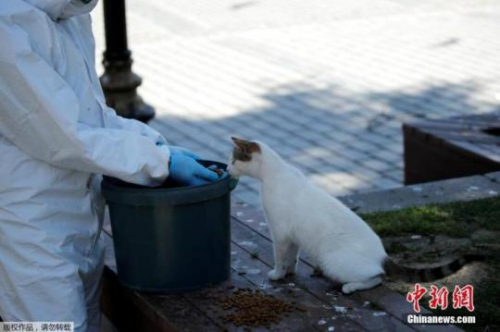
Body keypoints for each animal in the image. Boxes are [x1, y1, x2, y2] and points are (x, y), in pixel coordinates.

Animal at [229, 137, 388, 294]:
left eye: (233, 161)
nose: (227, 169)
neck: (273, 174)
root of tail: (383, 256)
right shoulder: (292, 237)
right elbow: (292, 258)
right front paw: (289, 272)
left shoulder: (280, 235)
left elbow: (280, 259)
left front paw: (277, 275)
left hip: (331, 262)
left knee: (377, 277)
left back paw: (349, 287)